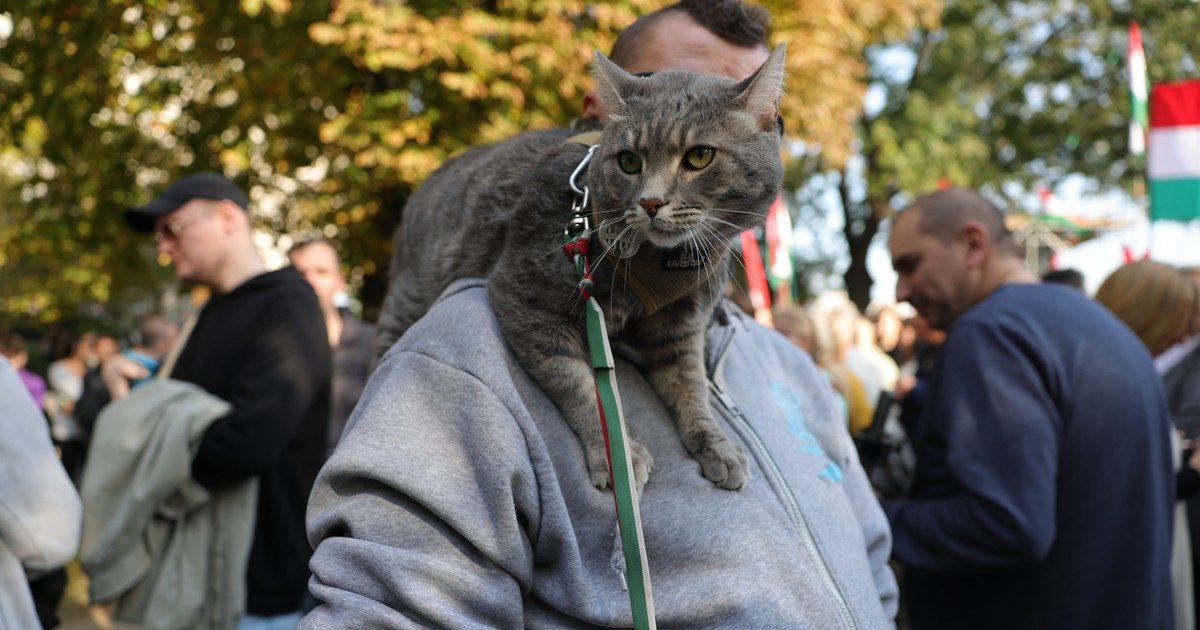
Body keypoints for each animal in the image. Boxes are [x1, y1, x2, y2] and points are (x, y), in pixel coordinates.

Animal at [376, 44, 787, 492]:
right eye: (629, 161)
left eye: (700, 156)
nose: (651, 202)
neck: (663, 262)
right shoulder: (527, 302)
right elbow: (584, 390)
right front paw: (619, 456)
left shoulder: (680, 327)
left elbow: (691, 387)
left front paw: (716, 444)